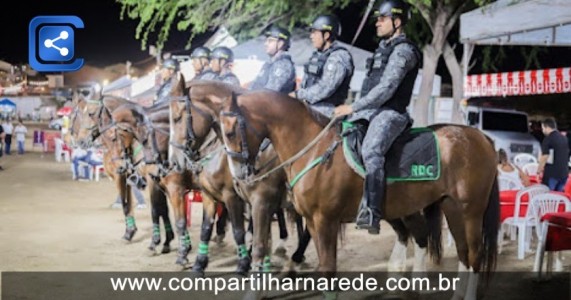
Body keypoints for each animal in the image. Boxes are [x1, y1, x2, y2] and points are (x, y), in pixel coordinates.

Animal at [214, 85, 500, 298]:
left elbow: (327, 268)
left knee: (474, 254)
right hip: (449, 207)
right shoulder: (312, 222)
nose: (239, 175)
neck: (314, 150)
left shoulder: (323, 220)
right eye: (219, 130)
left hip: (471, 211)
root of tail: (482, 138)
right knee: (457, 250)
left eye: (230, 131)